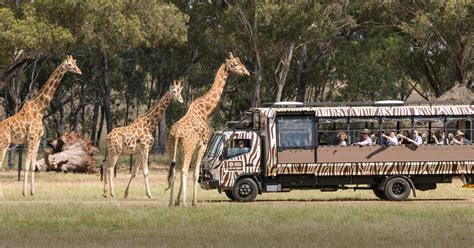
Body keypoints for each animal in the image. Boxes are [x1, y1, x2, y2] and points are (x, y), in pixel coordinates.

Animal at [0, 55, 81, 197]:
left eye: (74, 63)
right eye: (69, 64)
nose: (79, 71)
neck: (39, 109)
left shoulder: (37, 139)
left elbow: (33, 165)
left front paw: (32, 192)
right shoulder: (31, 138)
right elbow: (26, 165)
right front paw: (24, 193)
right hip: (4, 143)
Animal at [165, 52, 250, 207]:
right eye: (235, 64)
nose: (247, 72)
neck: (205, 110)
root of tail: (176, 134)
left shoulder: (187, 148)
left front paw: (177, 201)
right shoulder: (202, 144)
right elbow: (195, 172)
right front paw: (193, 202)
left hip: (172, 147)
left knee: (173, 171)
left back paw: (170, 203)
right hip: (187, 147)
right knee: (184, 171)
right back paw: (185, 204)